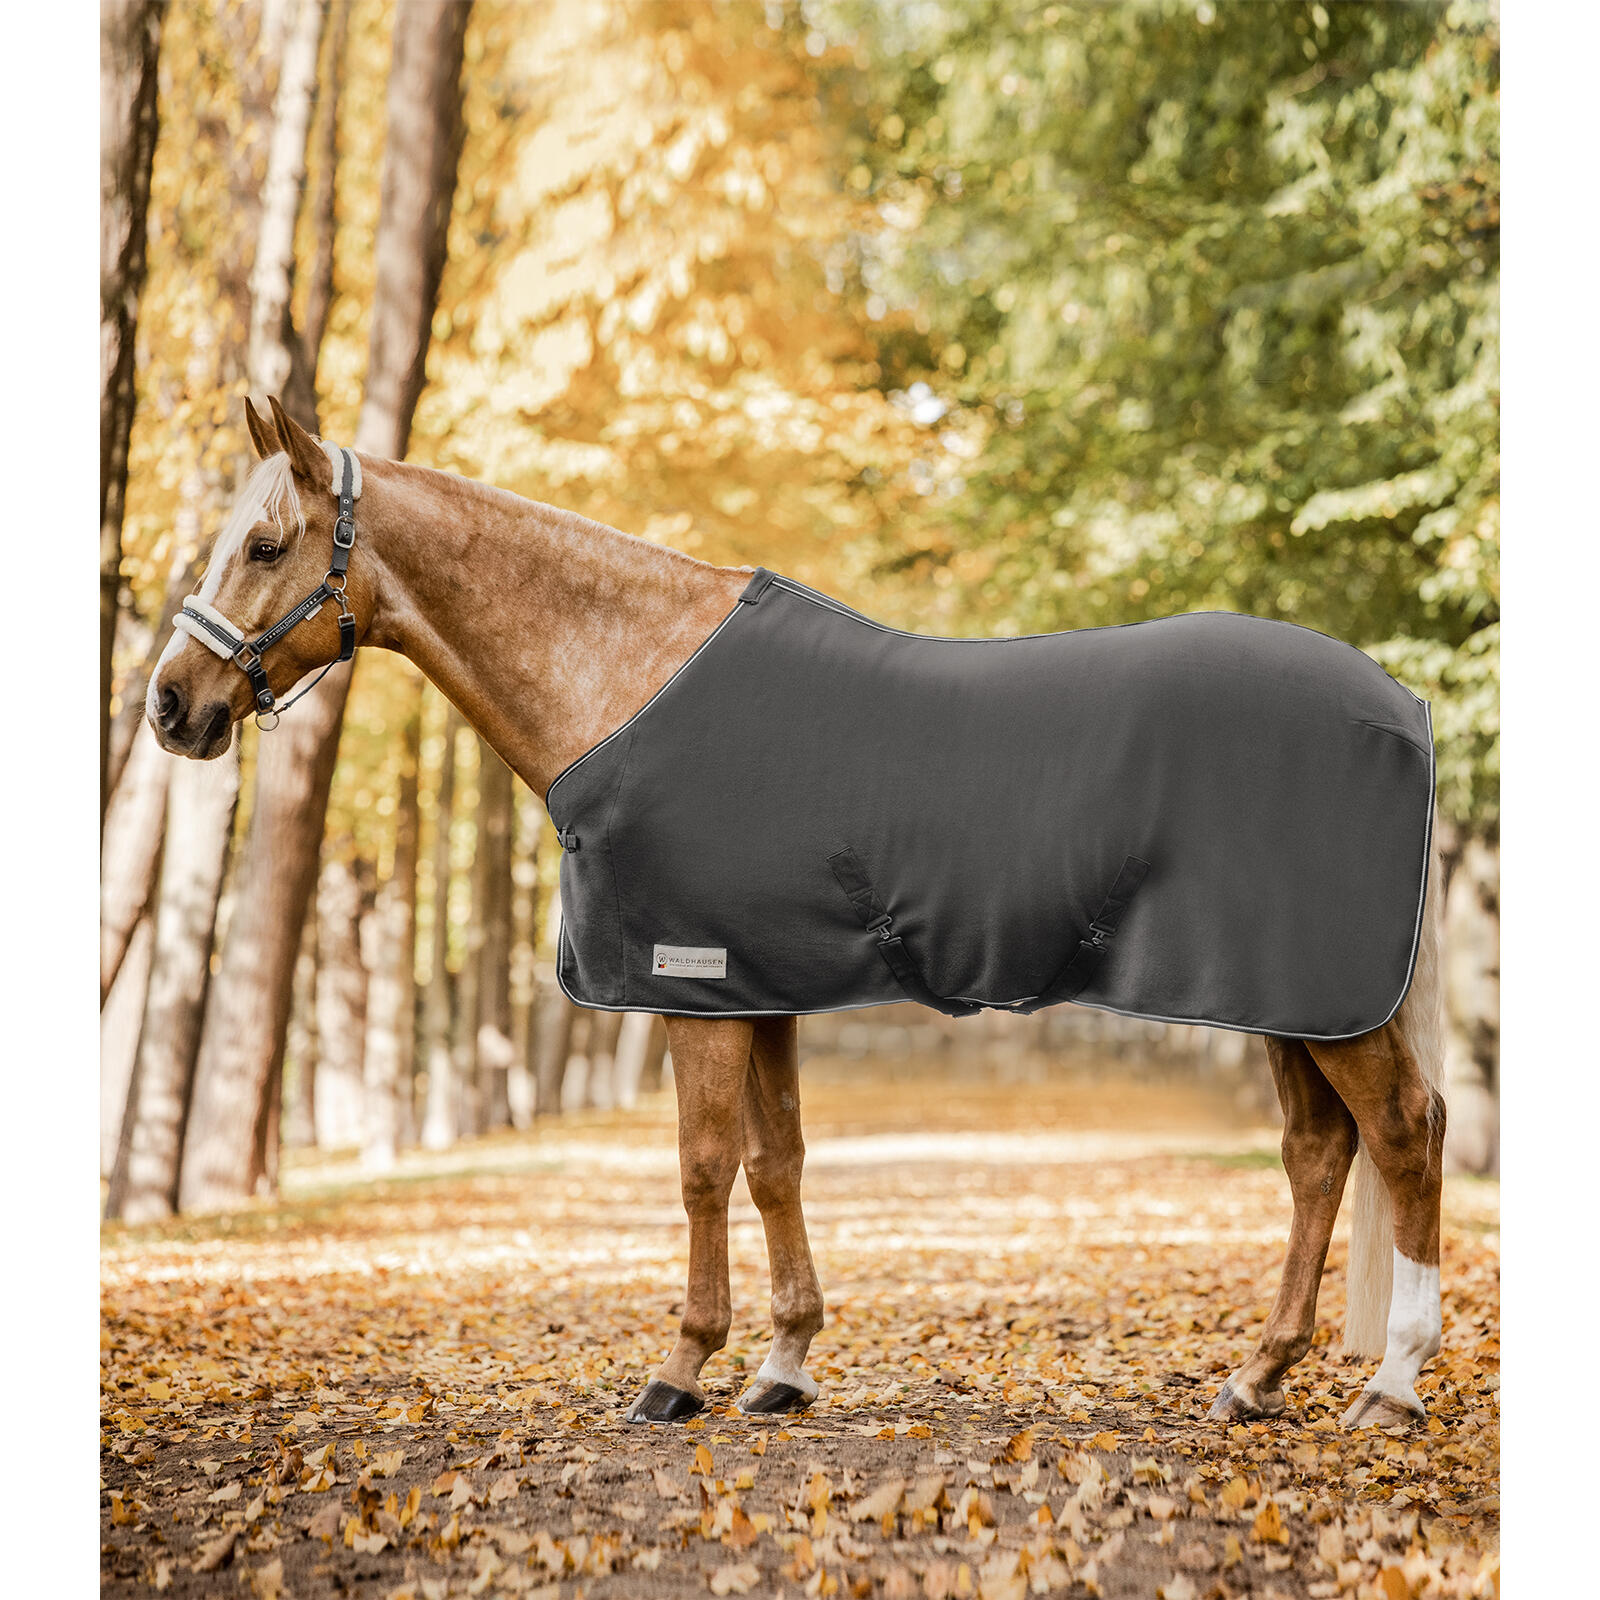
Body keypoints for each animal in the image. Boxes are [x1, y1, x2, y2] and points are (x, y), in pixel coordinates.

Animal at [147, 396, 1446, 1431]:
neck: (630, 675)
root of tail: (1399, 701)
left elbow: (702, 1168)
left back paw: (1390, 1385)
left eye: (264, 543)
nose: (171, 706)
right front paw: (783, 1365)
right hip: (1288, 999)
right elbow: (778, 1164)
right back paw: (1257, 1378)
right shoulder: (757, 985)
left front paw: (680, 1369)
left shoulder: (691, 983)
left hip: (1321, 997)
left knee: (1402, 1132)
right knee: (1318, 1152)